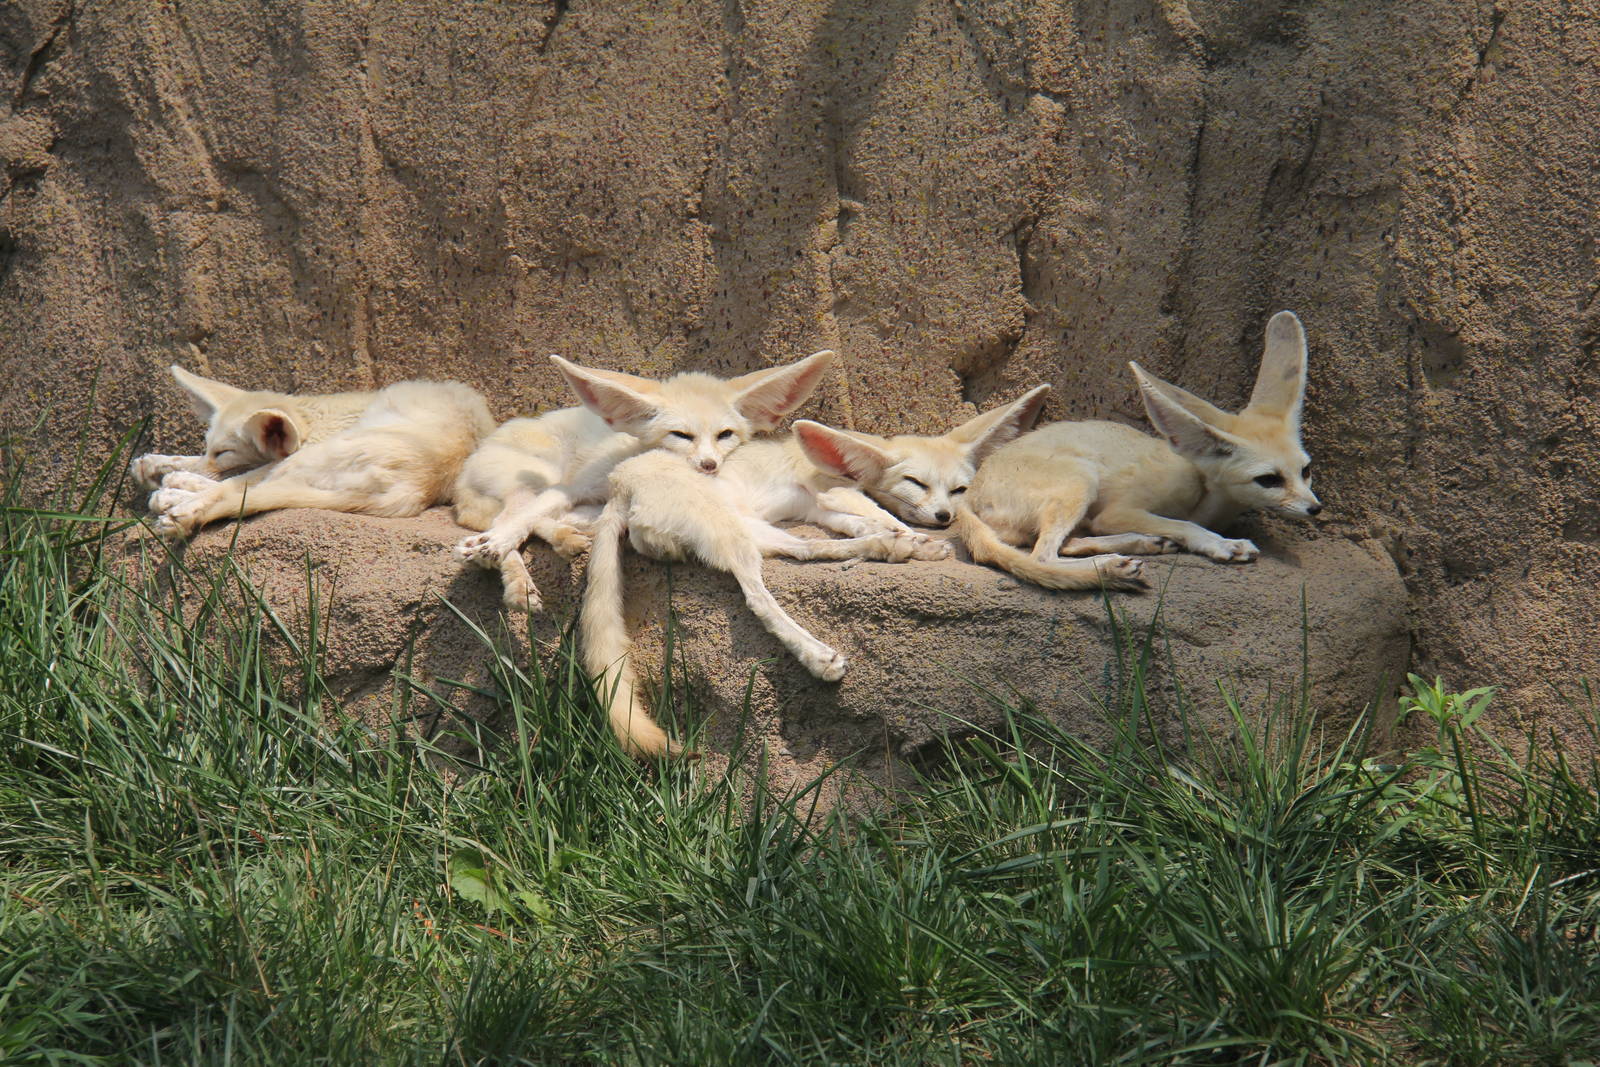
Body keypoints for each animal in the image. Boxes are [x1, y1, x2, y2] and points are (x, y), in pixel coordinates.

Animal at [130, 367, 496, 540]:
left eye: (223, 453)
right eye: (208, 447)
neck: (313, 415)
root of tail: (412, 490)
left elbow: (235, 481)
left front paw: (174, 482)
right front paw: (159, 465)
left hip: (314, 458)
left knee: (247, 489)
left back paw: (179, 503)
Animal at [451, 349, 838, 613]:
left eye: (725, 434)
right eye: (681, 435)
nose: (709, 464)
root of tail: (468, 465)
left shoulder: (596, 499)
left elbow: (540, 518)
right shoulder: (573, 486)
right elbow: (524, 519)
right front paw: (494, 545)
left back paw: (560, 542)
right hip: (535, 475)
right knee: (508, 514)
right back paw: (514, 576)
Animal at [579, 386, 1132, 758]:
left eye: (960, 490)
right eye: (916, 483)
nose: (944, 517)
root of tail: (618, 486)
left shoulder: (820, 505)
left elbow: (856, 523)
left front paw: (907, 540)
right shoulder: (832, 492)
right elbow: (878, 511)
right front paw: (916, 536)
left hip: (748, 524)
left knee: (800, 551)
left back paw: (890, 550)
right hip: (726, 528)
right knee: (757, 592)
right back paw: (819, 653)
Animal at [953, 310, 1321, 589]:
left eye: (1306, 471)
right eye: (1269, 479)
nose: (1315, 509)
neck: (1208, 494)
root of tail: (970, 495)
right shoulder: (1120, 511)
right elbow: (1183, 525)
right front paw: (1220, 543)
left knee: (1064, 545)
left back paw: (1141, 545)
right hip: (1081, 480)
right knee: (1043, 556)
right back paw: (1111, 566)